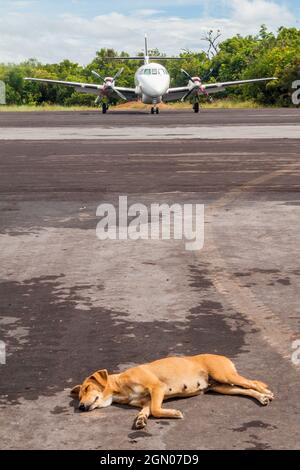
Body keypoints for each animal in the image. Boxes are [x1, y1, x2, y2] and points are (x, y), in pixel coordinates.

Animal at [71, 352, 274, 430]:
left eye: (88, 388)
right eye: (80, 395)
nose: (80, 407)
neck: (120, 386)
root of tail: (222, 356)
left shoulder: (157, 388)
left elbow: (156, 410)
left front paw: (174, 413)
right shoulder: (145, 401)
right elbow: (147, 410)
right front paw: (140, 419)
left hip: (224, 375)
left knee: (253, 383)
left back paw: (267, 393)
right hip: (221, 387)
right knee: (245, 390)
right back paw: (262, 398)